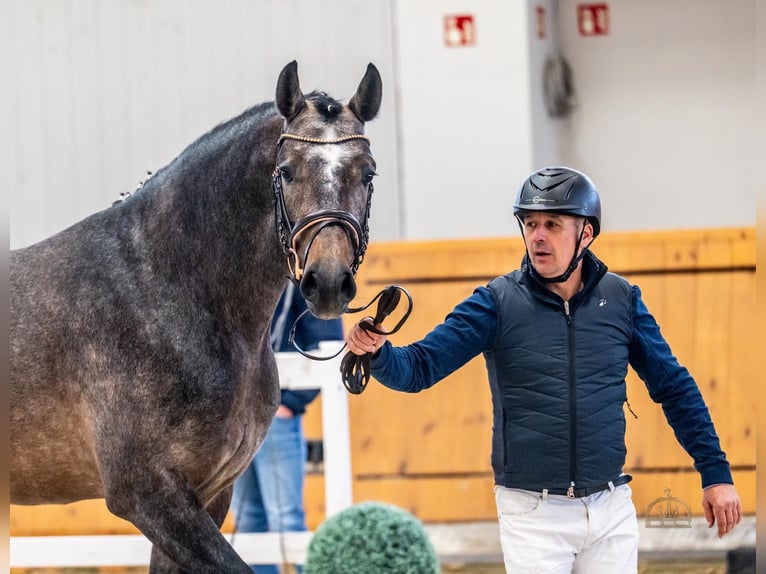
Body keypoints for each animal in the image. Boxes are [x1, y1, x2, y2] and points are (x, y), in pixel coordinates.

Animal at [10, 60, 382, 573]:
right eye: (285, 172)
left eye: (368, 174)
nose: (327, 283)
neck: (163, 287)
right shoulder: (150, 496)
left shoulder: (208, 494)